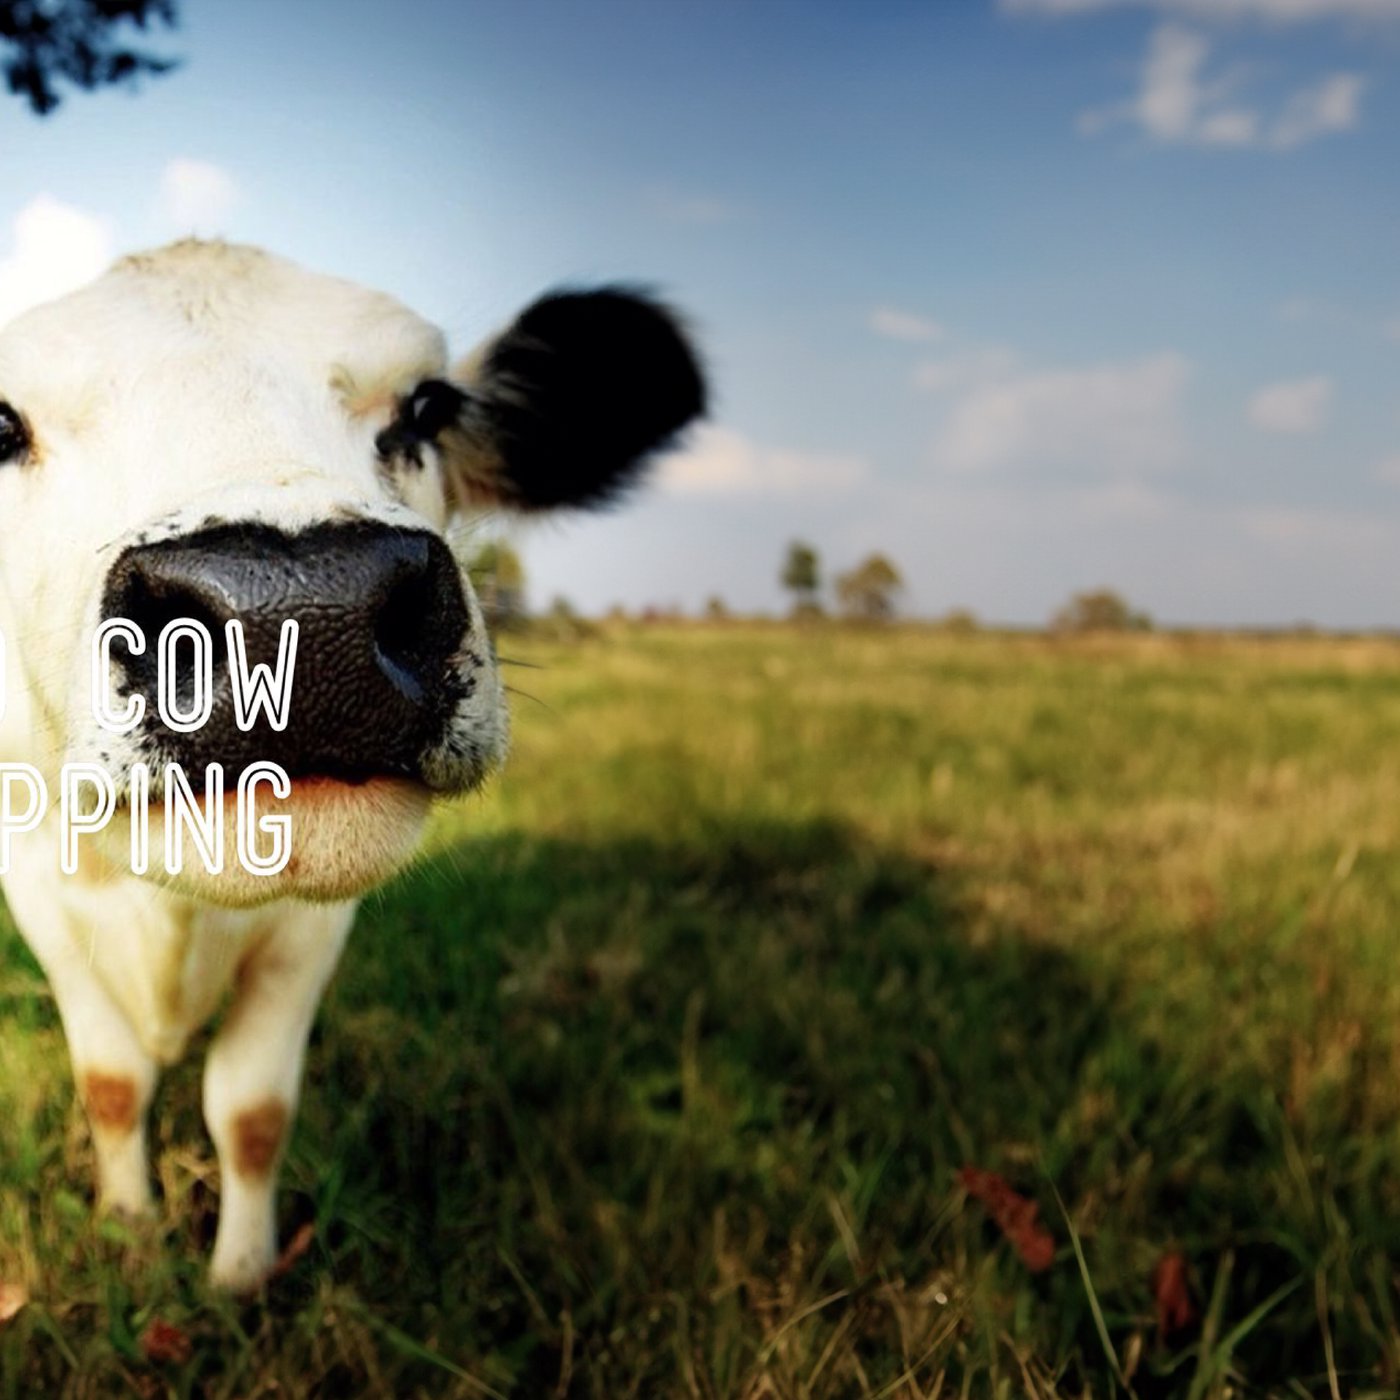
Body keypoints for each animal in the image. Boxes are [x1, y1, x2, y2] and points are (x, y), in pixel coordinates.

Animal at [0, 240, 705, 1291]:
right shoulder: (37, 880)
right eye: (2, 423)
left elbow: (251, 1111)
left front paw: (241, 1279)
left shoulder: (315, 923)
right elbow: (114, 1082)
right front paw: (131, 1231)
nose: (298, 611)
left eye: (427, 408)